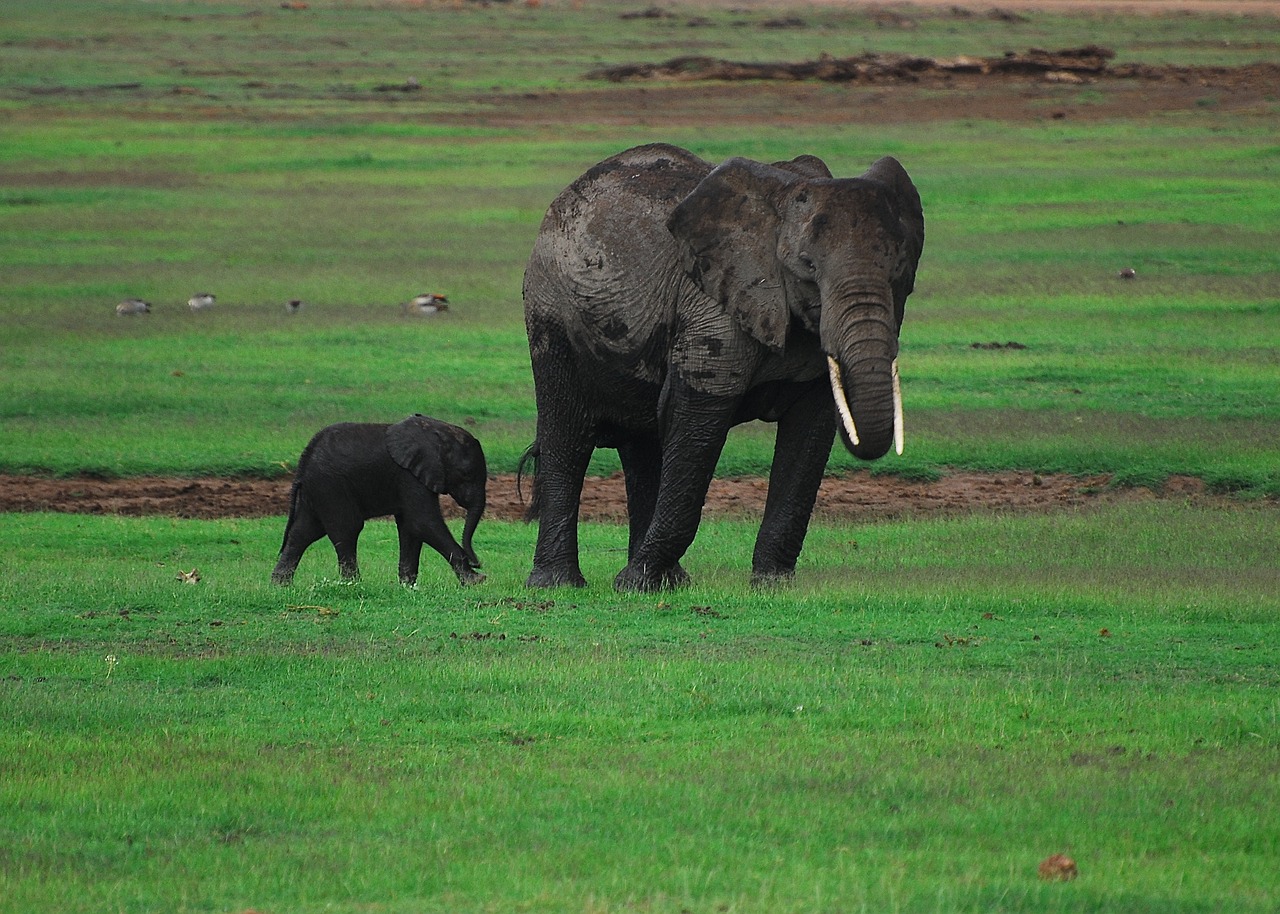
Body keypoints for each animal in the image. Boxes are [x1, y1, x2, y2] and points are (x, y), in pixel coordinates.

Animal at [270, 412, 483, 583]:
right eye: (466, 474)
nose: (477, 562)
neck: (435, 431)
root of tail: (303, 462)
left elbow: (410, 527)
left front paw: (408, 586)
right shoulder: (409, 476)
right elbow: (423, 522)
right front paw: (475, 581)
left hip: (317, 490)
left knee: (303, 532)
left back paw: (280, 585)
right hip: (330, 486)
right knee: (346, 529)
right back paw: (353, 584)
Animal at [524, 138, 926, 586]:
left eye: (900, 271)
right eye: (807, 266)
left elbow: (810, 430)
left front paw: (771, 585)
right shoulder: (711, 301)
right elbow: (697, 418)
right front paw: (633, 583)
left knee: (642, 443)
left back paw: (667, 583)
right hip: (551, 312)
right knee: (568, 436)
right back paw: (560, 584)